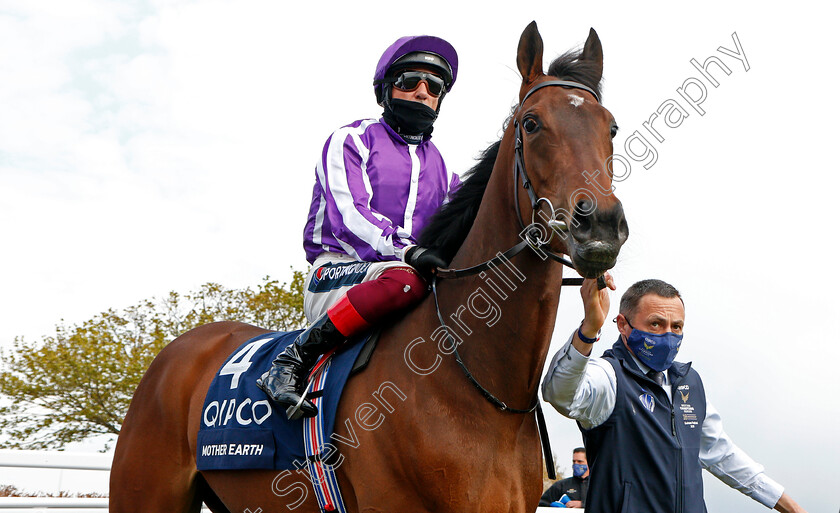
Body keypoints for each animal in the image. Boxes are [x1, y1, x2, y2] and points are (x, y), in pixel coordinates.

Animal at [110, 23, 624, 512]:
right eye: (533, 124)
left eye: (612, 127)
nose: (599, 223)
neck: (477, 389)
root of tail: (178, 351)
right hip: (144, 493)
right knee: (396, 281)